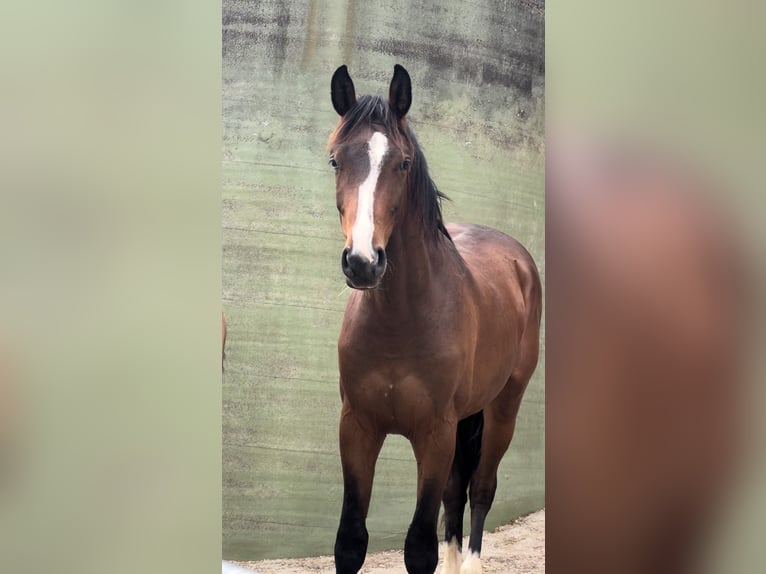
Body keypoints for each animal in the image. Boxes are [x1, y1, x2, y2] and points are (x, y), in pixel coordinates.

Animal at [328, 64, 544, 574]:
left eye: (403, 164)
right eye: (335, 161)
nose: (363, 262)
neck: (399, 324)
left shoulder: (435, 434)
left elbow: (419, 547)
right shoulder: (357, 428)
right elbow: (351, 540)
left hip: (503, 408)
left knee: (480, 490)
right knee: (455, 495)